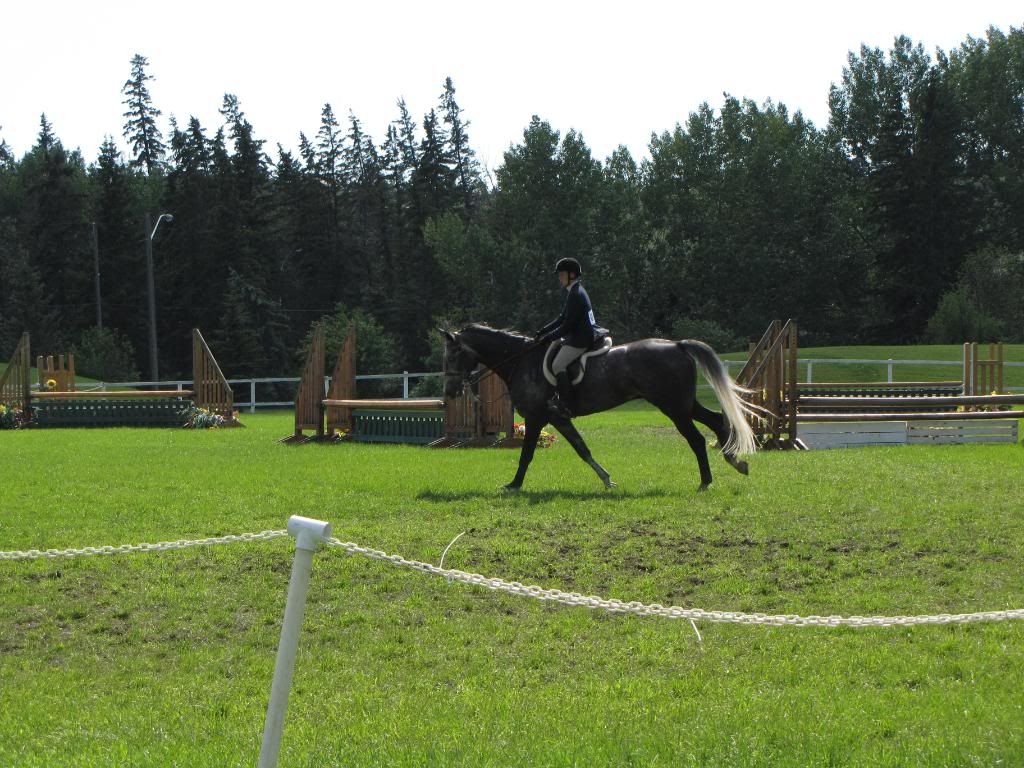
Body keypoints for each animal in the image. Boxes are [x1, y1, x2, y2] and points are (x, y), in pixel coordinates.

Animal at [442, 324, 760, 492]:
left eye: (454, 355)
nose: (450, 392)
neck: (521, 361)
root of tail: (677, 345)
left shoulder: (535, 418)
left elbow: (526, 455)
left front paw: (514, 485)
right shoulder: (557, 418)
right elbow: (582, 449)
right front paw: (607, 479)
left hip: (673, 407)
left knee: (696, 438)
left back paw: (706, 481)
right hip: (683, 403)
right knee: (717, 420)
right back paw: (736, 461)